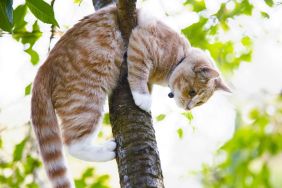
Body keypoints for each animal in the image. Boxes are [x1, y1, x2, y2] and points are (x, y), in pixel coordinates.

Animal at [31, 4, 229, 188]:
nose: (188, 108)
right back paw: (106, 150)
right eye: (192, 92)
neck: (180, 55)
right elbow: (138, 73)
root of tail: (44, 67)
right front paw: (142, 97)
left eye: (199, 103)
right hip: (87, 101)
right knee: (72, 144)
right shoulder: (142, 43)